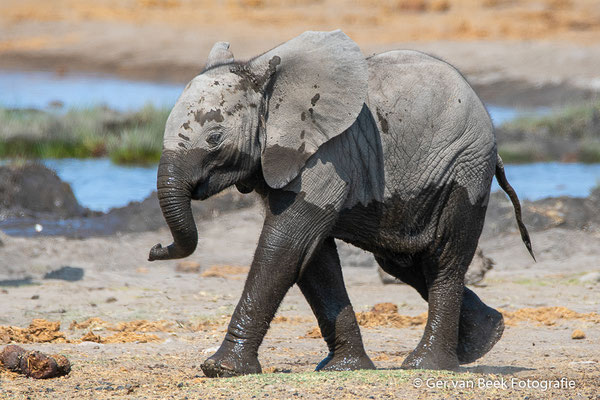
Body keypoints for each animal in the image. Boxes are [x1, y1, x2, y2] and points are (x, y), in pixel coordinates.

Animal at [146, 30, 536, 376]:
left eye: (214, 139)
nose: (154, 249)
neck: (265, 76)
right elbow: (313, 257)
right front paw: (343, 367)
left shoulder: (328, 152)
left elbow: (287, 242)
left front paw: (220, 369)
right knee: (404, 259)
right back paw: (484, 339)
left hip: (466, 167)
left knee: (443, 259)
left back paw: (428, 364)